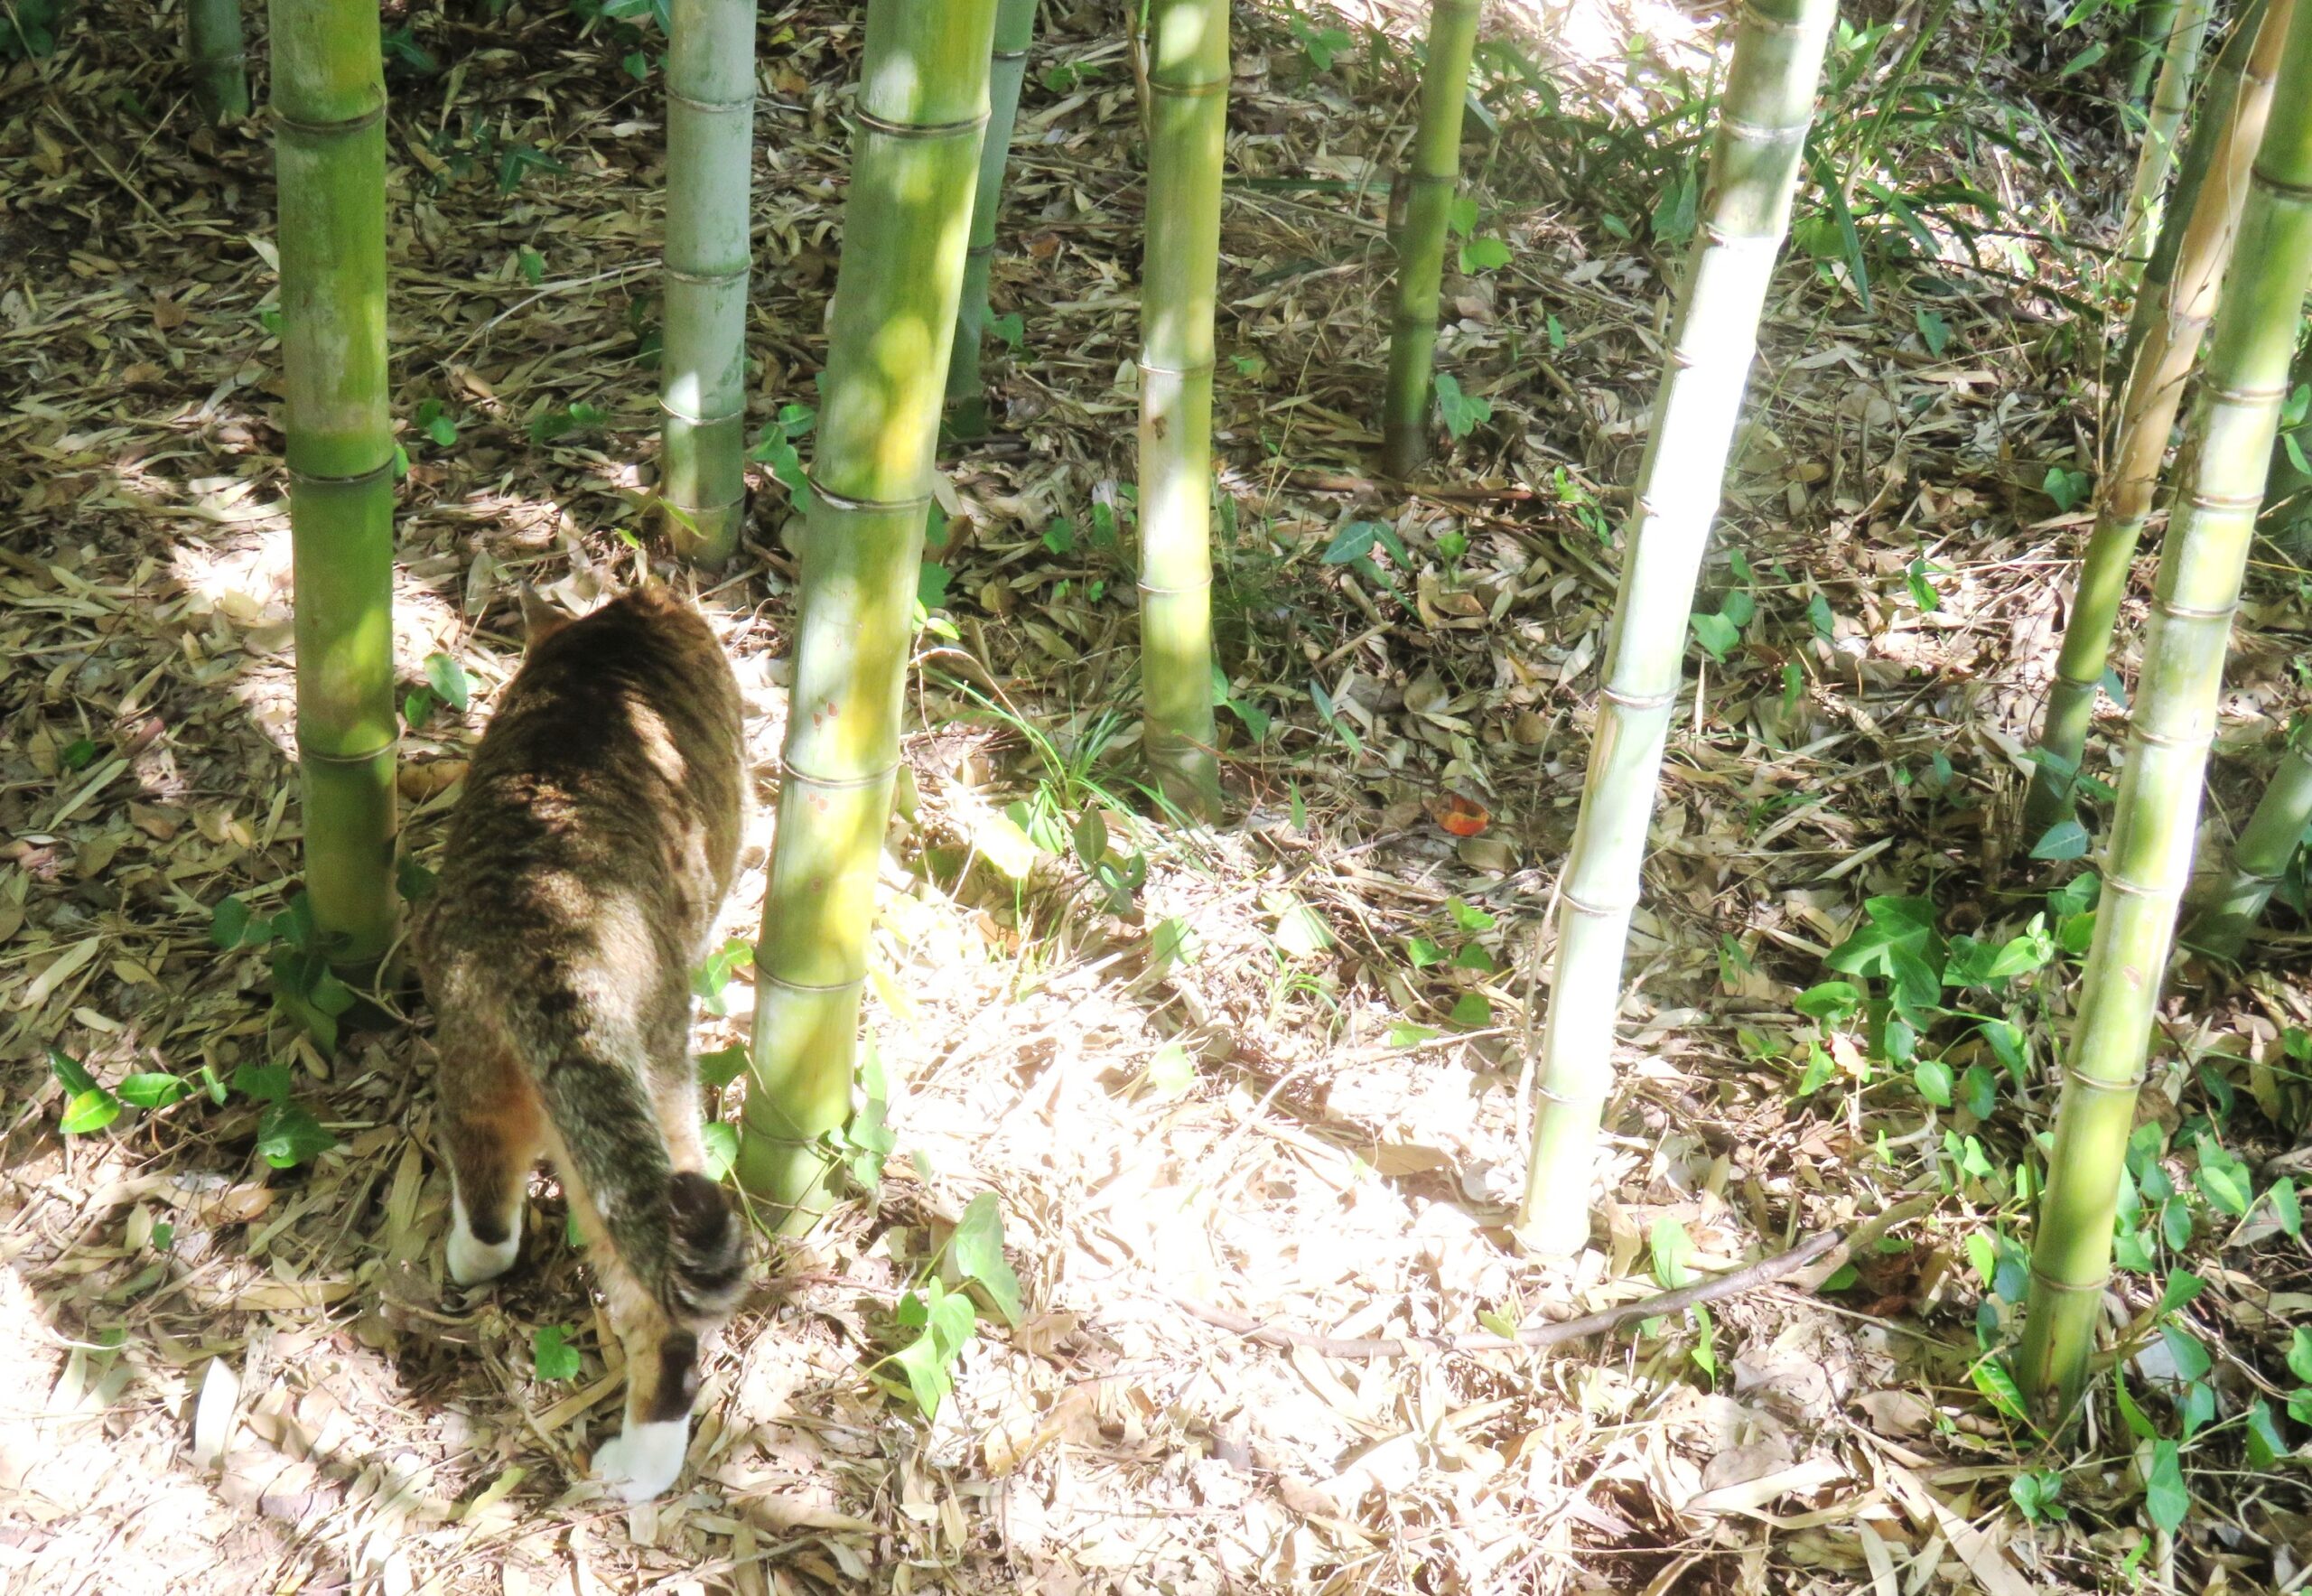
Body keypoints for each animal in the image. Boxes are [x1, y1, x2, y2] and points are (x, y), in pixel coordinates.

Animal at [411, 578, 744, 1498]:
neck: (611, 642)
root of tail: (548, 934)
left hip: (480, 1063)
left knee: (493, 1211)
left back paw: (468, 1255)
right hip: (661, 1090)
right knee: (666, 1316)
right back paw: (643, 1463)